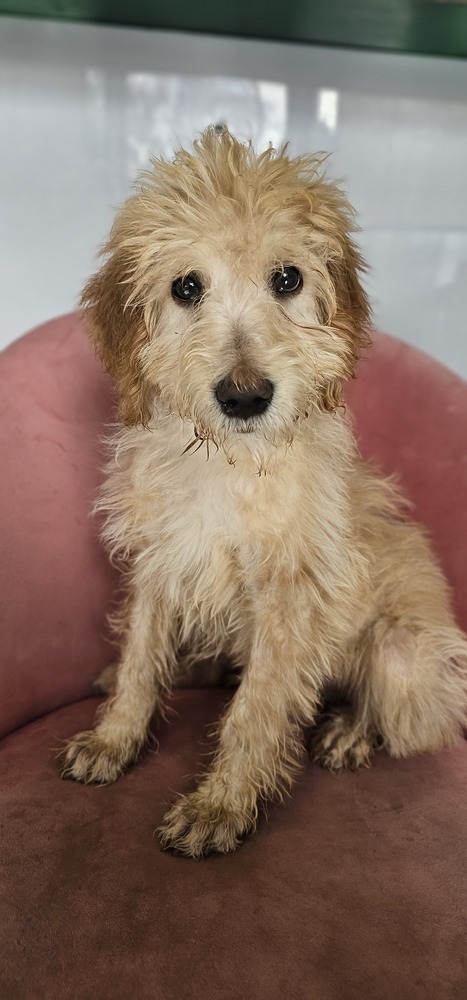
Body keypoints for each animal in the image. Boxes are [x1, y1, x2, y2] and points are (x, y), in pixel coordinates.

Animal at [58, 127, 467, 860]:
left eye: (287, 279)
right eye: (186, 287)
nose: (245, 397)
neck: (228, 461)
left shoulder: (287, 597)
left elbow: (255, 709)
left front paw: (221, 804)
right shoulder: (159, 564)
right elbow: (139, 659)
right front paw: (115, 736)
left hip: (405, 654)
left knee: (392, 709)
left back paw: (350, 732)